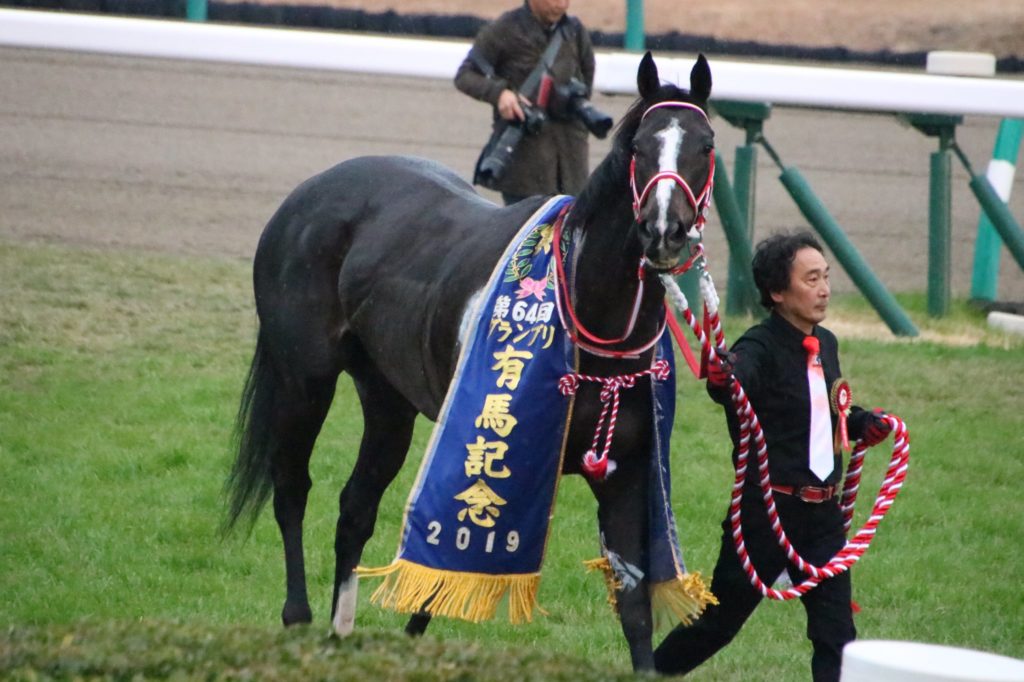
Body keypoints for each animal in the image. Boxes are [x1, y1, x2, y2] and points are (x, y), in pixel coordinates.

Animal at [228, 53, 716, 667]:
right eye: (640, 147)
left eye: (705, 144)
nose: (664, 230)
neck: (584, 309)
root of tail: (306, 195)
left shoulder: (627, 471)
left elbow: (634, 606)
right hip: (304, 380)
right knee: (292, 486)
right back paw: (299, 616)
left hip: (386, 398)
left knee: (355, 506)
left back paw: (342, 631)